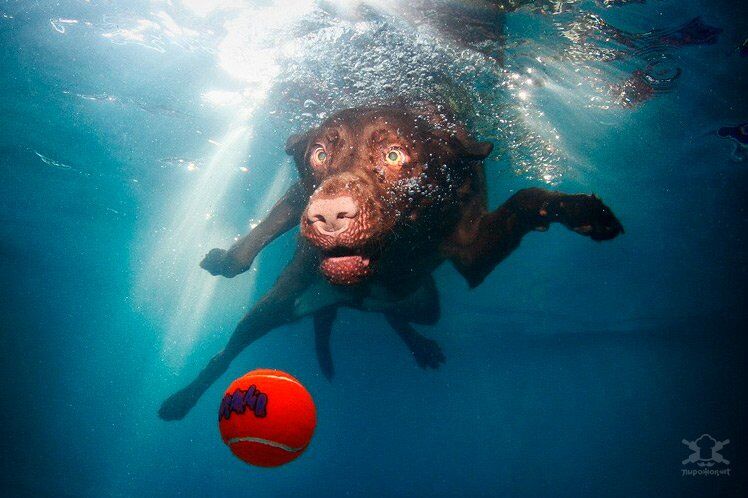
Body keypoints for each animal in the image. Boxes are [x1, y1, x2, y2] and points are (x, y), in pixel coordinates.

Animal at [156, 102, 620, 420]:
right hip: (276, 304)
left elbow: (527, 197)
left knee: (393, 313)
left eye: (395, 155)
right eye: (319, 154)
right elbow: (279, 214)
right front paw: (230, 259)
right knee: (226, 353)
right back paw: (180, 400)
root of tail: (345, 300)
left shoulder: (473, 253)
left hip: (424, 304)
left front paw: (582, 211)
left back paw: (416, 341)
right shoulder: (300, 194)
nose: (328, 215)